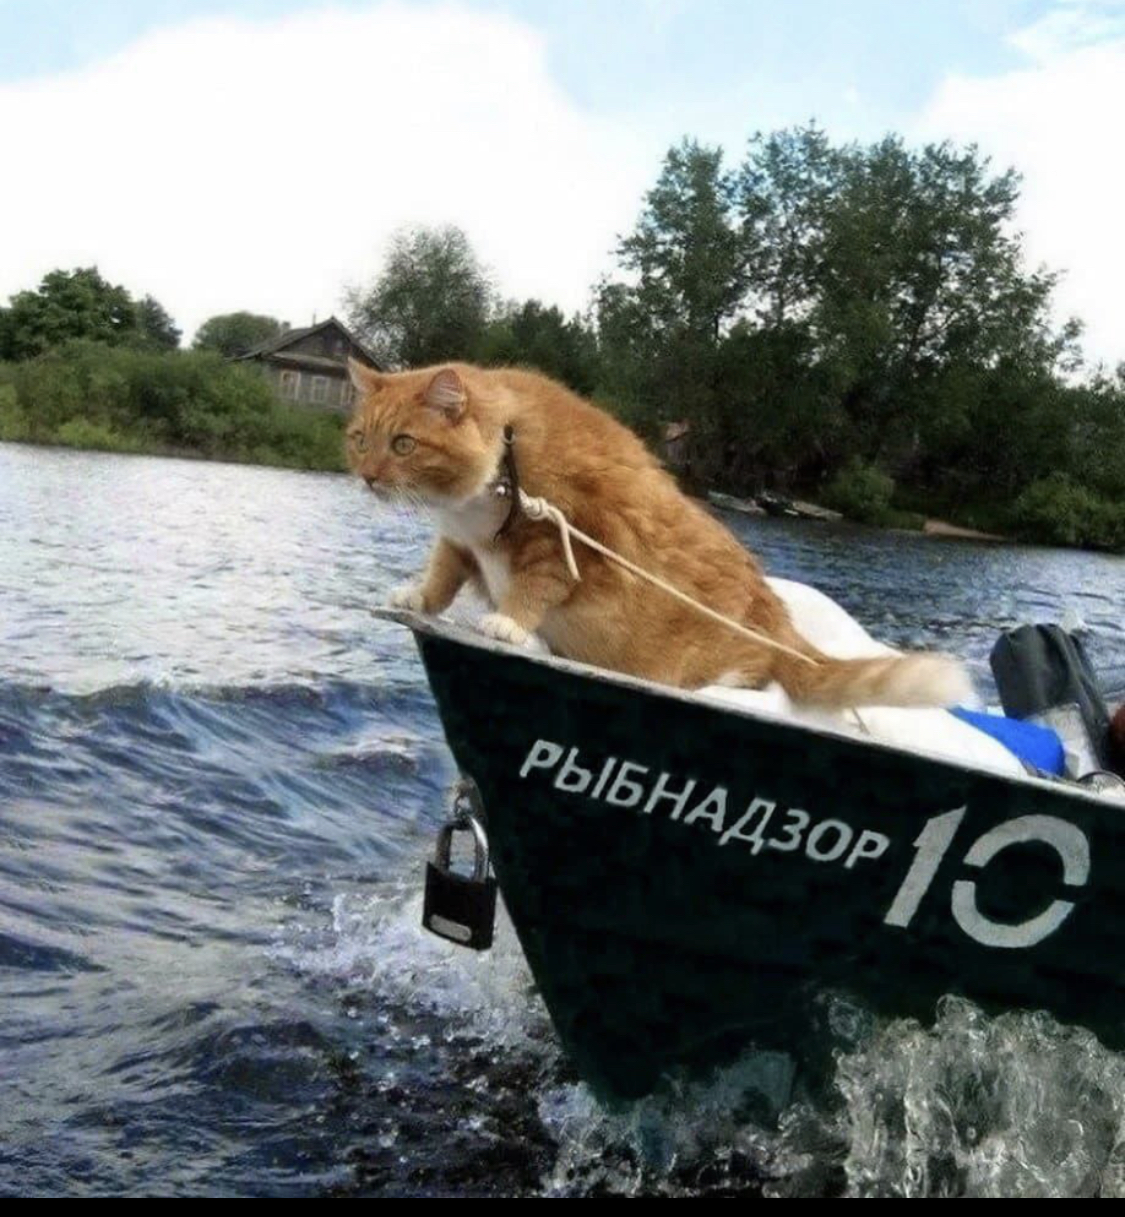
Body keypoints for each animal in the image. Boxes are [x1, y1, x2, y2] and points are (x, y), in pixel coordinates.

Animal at [348, 355, 969, 710]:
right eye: (360, 439)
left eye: (403, 444)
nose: (367, 475)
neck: (507, 449)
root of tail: (784, 627)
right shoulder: (460, 543)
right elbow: (441, 576)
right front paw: (417, 596)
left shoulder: (563, 546)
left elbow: (533, 588)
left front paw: (508, 623)